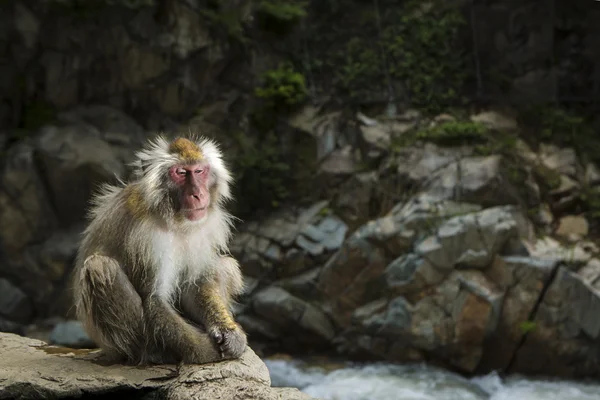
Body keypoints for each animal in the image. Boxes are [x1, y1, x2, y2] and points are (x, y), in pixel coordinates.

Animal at [72, 135, 246, 366]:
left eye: (199, 171)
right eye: (181, 173)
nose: (198, 194)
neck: (174, 218)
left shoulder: (203, 229)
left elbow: (196, 284)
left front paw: (230, 332)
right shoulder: (147, 238)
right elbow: (155, 299)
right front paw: (205, 351)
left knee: (225, 264)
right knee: (100, 266)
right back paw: (151, 353)